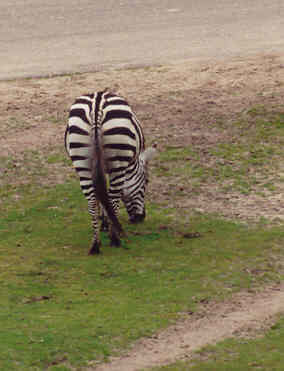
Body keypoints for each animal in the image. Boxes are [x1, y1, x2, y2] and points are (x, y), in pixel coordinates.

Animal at [64, 89, 156, 256]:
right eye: (146, 182)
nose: (141, 218)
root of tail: (97, 106)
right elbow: (111, 196)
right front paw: (108, 225)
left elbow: (101, 193)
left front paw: (103, 222)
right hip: (118, 160)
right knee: (113, 196)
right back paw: (115, 239)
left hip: (81, 161)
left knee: (91, 199)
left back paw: (95, 245)